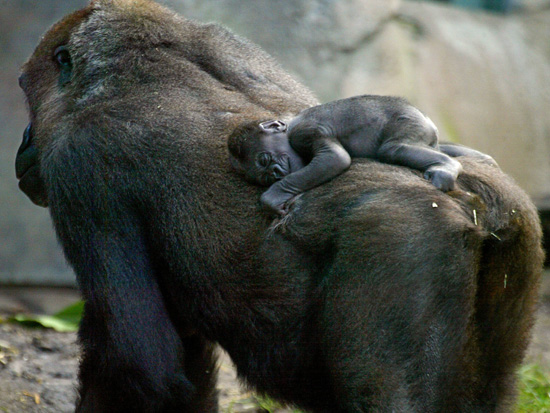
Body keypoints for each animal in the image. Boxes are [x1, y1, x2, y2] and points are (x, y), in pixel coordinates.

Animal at [230, 94, 470, 214]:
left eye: (264, 159)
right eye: (263, 177)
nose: (275, 173)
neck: (289, 123)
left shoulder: (305, 132)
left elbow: (335, 158)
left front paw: (274, 195)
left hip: (412, 122)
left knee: (393, 148)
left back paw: (447, 167)